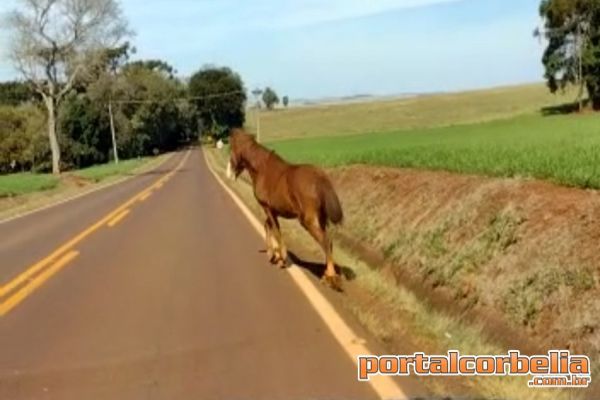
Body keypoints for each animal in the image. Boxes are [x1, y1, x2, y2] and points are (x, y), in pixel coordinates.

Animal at [227, 128, 344, 288]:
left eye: (231, 147)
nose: (230, 172)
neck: (262, 169)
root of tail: (320, 177)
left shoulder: (267, 208)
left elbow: (276, 231)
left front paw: (280, 258)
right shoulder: (272, 210)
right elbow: (268, 227)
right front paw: (273, 253)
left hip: (308, 221)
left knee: (325, 241)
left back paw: (331, 277)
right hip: (320, 218)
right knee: (329, 242)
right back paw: (326, 274)